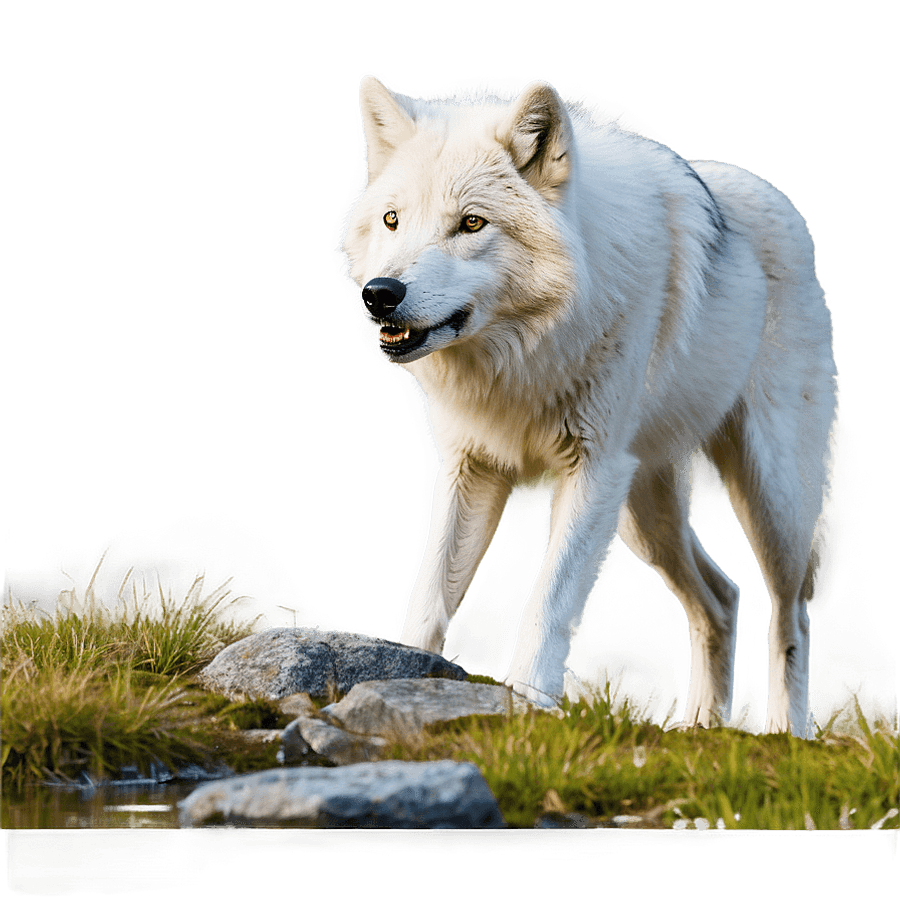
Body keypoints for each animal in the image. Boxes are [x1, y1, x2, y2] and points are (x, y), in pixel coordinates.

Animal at [333, 75, 839, 737]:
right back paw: (700, 726)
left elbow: (549, 600)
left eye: (471, 223)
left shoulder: (592, 470)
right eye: (393, 220)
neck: (520, 358)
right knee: (722, 598)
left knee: (792, 614)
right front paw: (405, 677)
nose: (381, 294)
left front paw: (525, 697)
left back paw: (786, 732)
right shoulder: (471, 468)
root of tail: (782, 202)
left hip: (767, 497)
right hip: (642, 515)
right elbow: (429, 595)